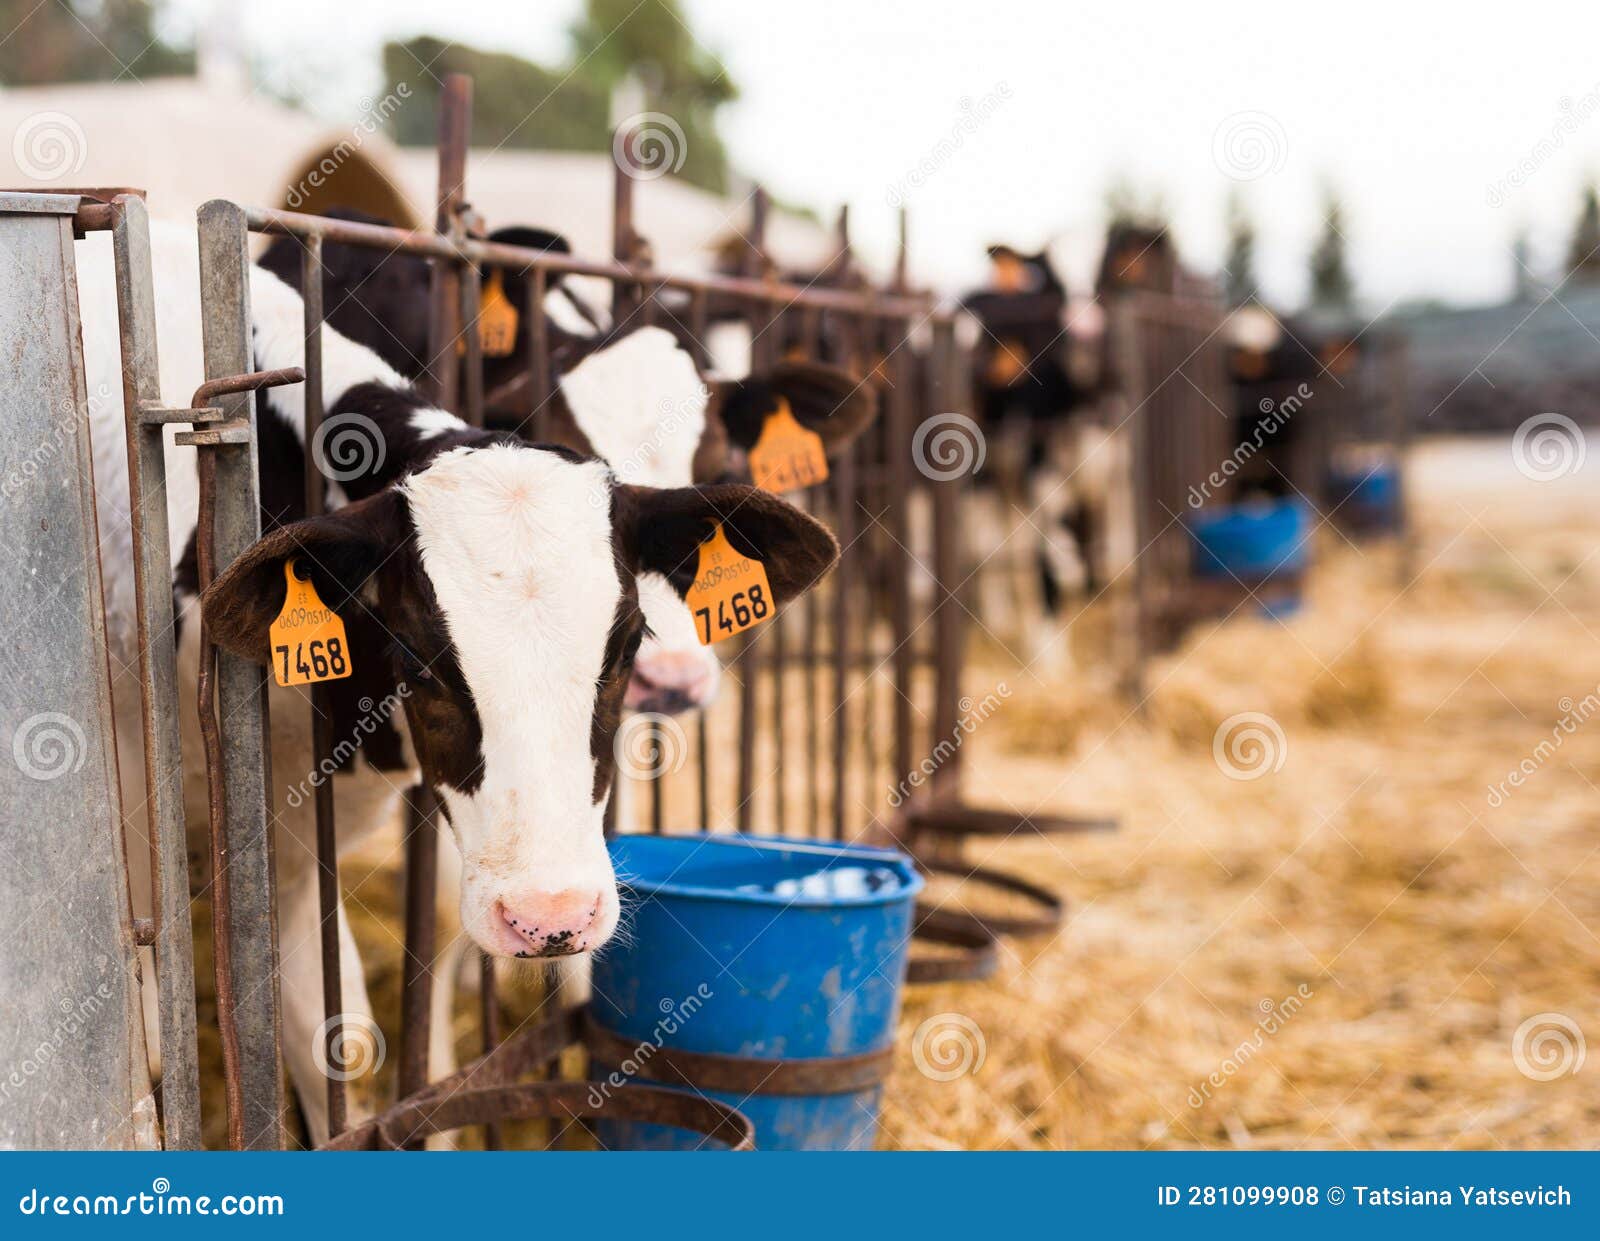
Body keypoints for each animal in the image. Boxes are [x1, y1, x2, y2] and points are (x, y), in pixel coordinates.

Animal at [74, 219, 844, 1143]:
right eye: (416, 658)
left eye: (624, 645)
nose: (552, 917)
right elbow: (161, 1056)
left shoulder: (295, 827)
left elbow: (342, 1034)